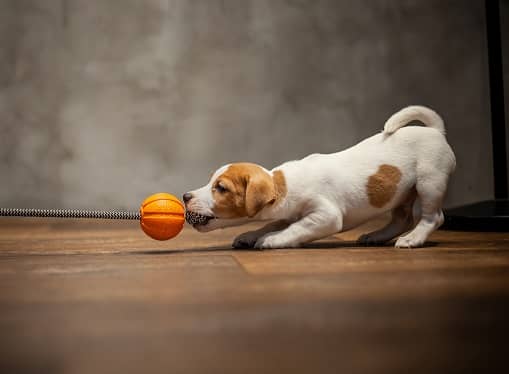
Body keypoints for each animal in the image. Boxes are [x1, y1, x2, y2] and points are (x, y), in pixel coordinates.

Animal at [184, 105, 456, 250]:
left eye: (221, 188)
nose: (185, 196)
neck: (284, 184)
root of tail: (436, 131)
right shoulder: (288, 214)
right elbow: (272, 223)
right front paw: (250, 235)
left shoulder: (326, 216)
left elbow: (296, 229)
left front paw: (272, 239)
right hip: (402, 193)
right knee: (402, 219)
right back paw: (377, 236)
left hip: (429, 183)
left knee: (432, 217)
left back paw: (412, 239)